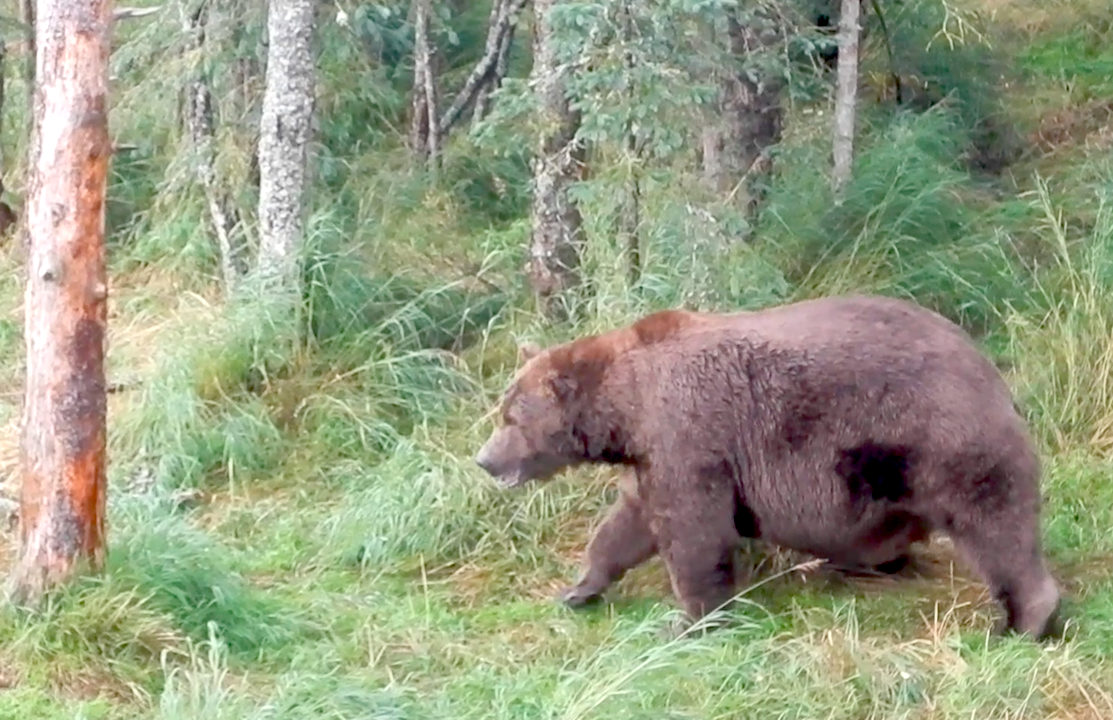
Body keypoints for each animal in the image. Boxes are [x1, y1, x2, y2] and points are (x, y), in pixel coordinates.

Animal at [474, 294, 1062, 641]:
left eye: (511, 416)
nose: (484, 460)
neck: (628, 406)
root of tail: (983, 360)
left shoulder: (690, 435)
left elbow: (693, 533)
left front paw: (690, 619)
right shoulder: (651, 457)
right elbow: (628, 525)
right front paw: (579, 589)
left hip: (934, 434)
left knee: (992, 522)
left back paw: (1024, 622)